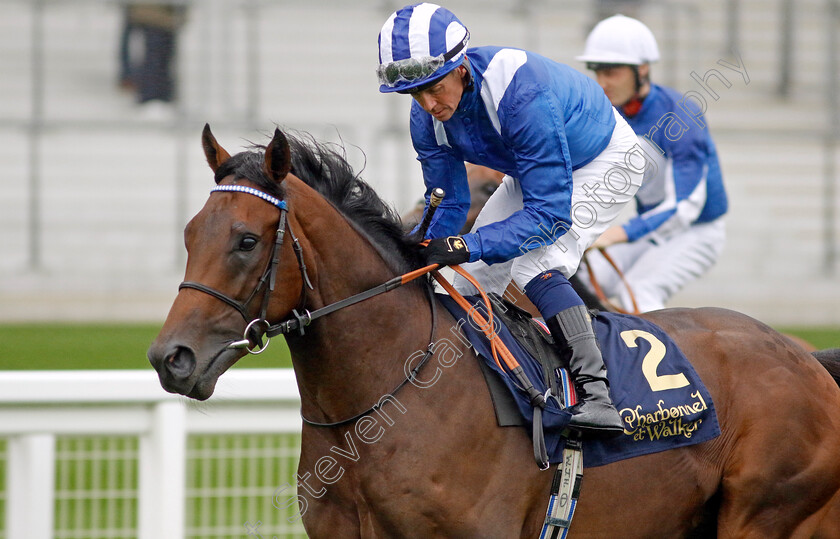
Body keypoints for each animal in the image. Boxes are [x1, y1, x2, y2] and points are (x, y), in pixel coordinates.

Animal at [148, 125, 840, 536]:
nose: (169, 357)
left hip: (766, 515)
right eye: (189, 234)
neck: (385, 396)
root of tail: (807, 359)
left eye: (245, 241)